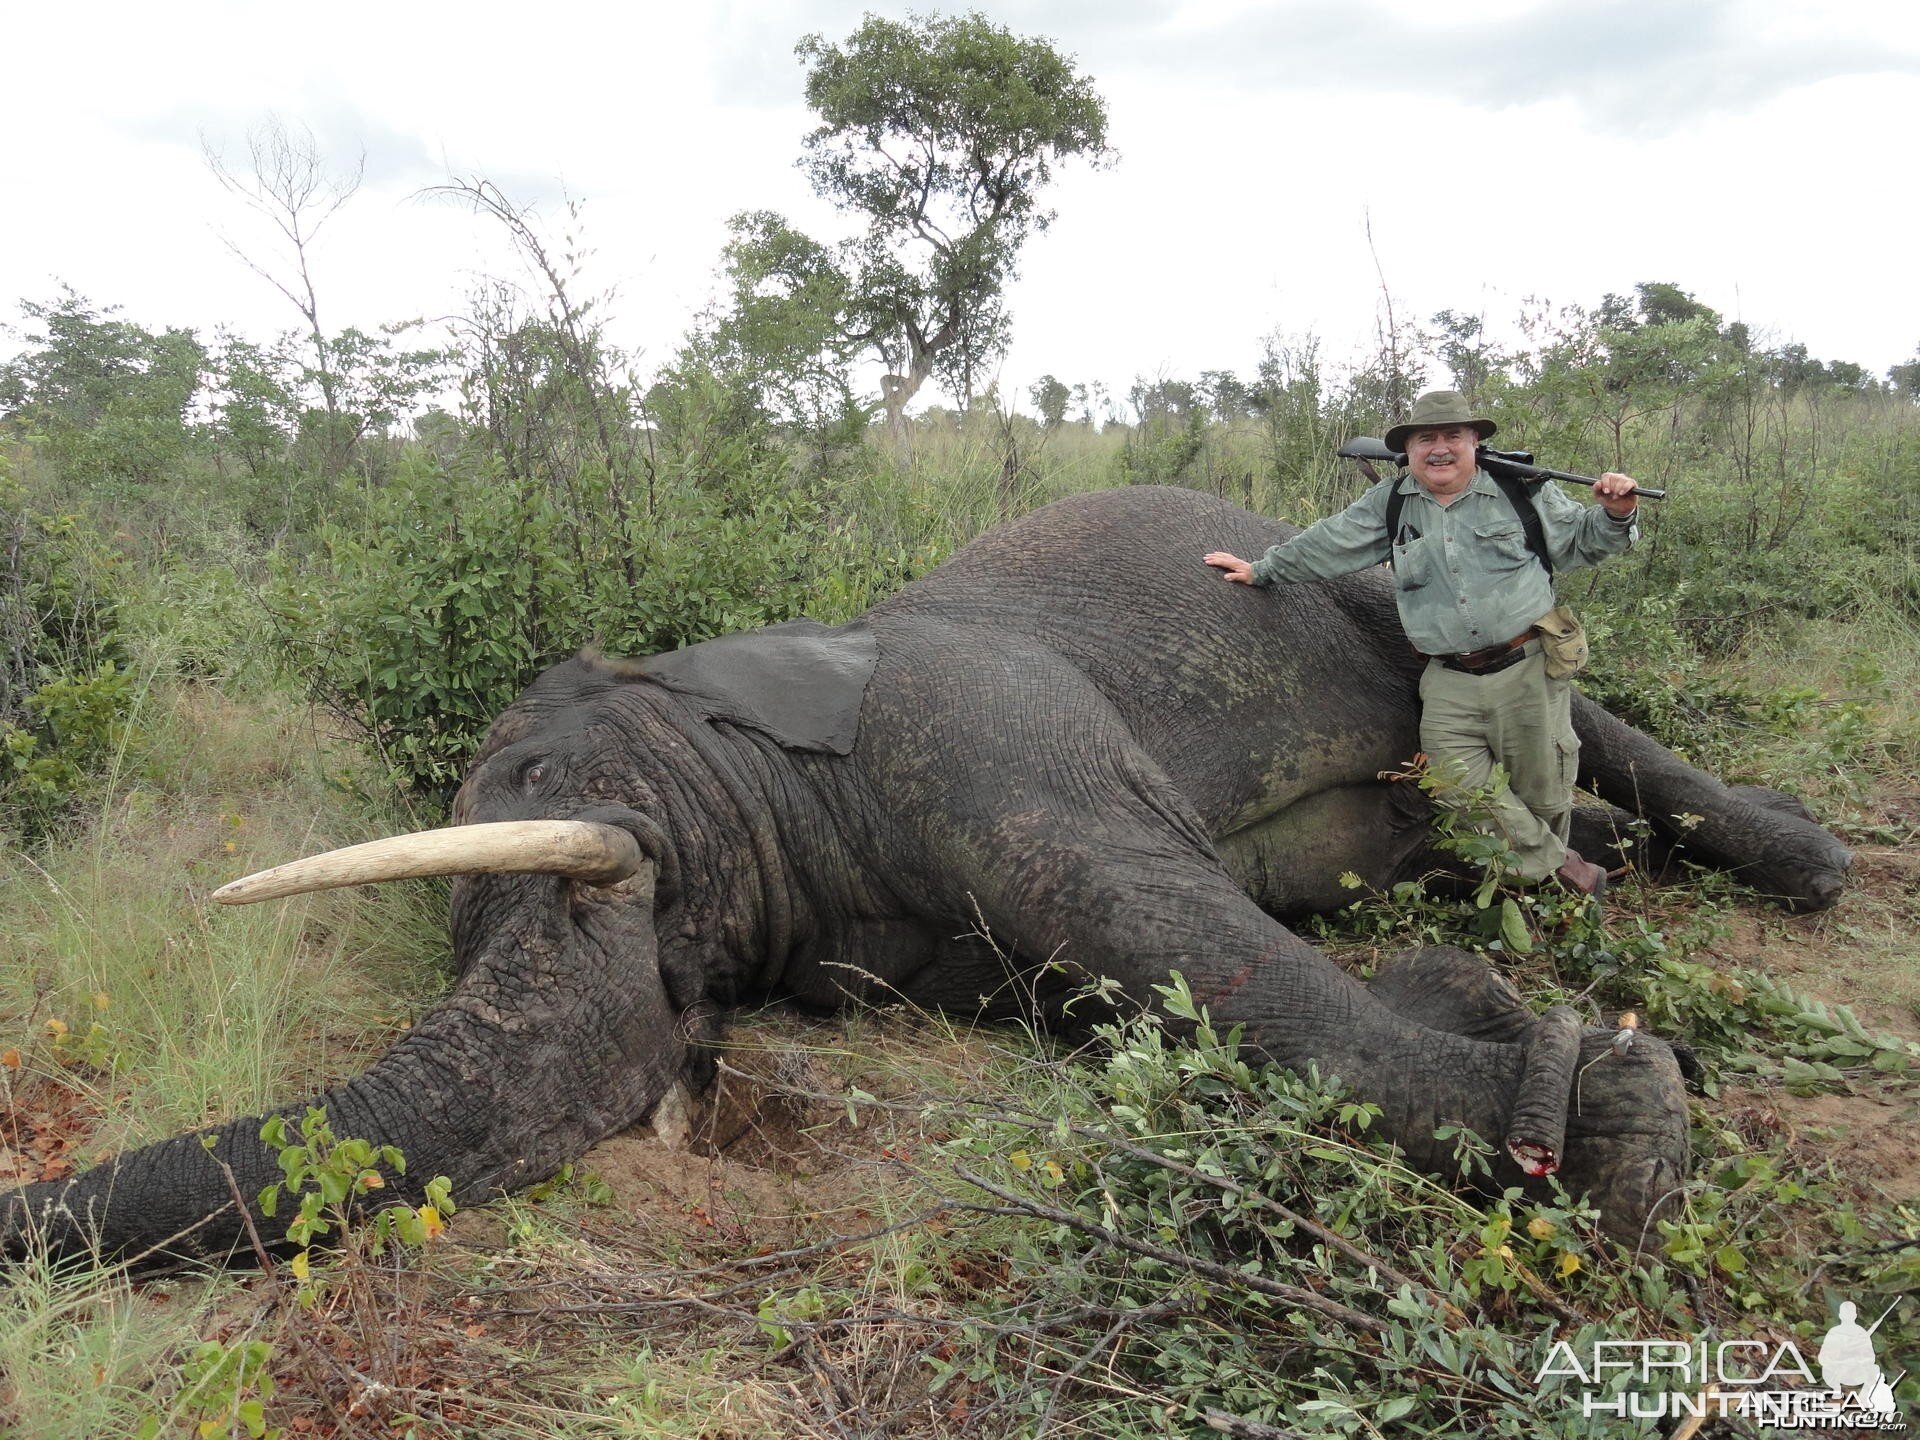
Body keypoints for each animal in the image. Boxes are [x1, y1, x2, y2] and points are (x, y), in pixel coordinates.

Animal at [0, 491, 1850, 1267]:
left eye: (617, 870)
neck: (721, 728)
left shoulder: (978, 743)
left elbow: (1166, 929)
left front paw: (1608, 1120)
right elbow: (1119, 985)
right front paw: (1500, 1019)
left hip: (1386, 597)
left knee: (1565, 712)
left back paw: (1804, 865)